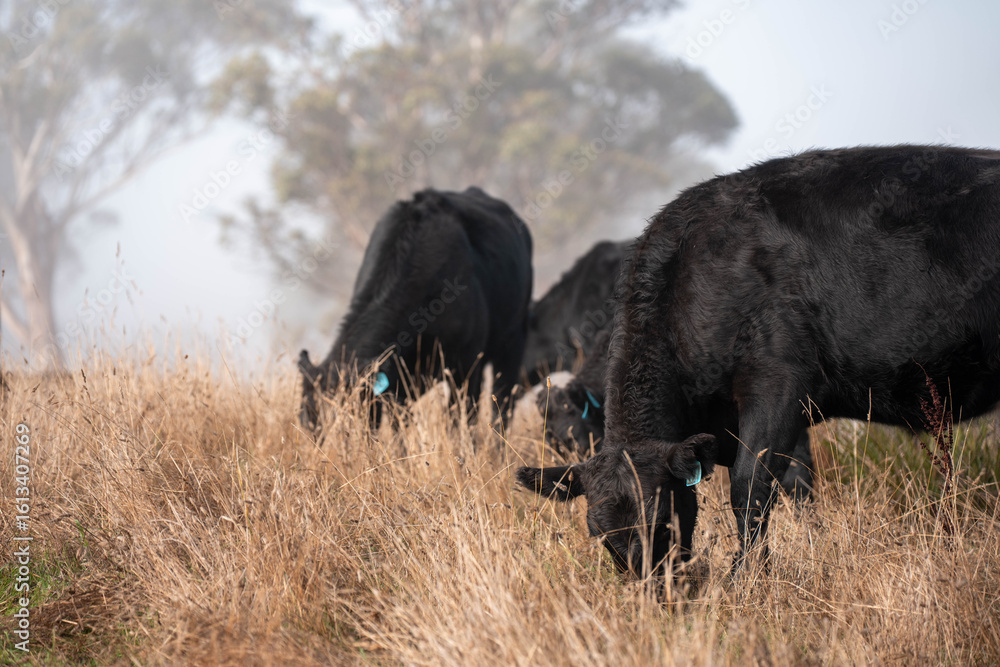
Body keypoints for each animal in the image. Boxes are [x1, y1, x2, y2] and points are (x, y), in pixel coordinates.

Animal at [299, 186, 533, 433]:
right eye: (305, 421)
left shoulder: (467, 366)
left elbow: (460, 420)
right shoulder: (398, 384)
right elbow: (400, 426)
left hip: (513, 339)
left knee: (503, 402)